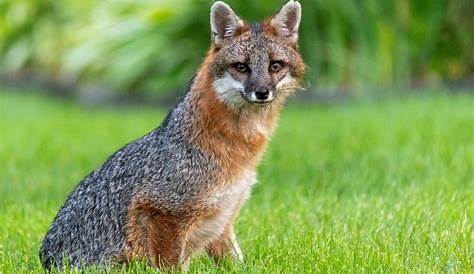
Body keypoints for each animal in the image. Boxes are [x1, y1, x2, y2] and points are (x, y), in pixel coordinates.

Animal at [39, 0, 308, 270]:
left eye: (275, 65)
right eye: (241, 67)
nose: (262, 92)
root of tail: (46, 261)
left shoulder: (222, 221)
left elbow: (237, 263)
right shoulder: (163, 212)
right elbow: (171, 265)